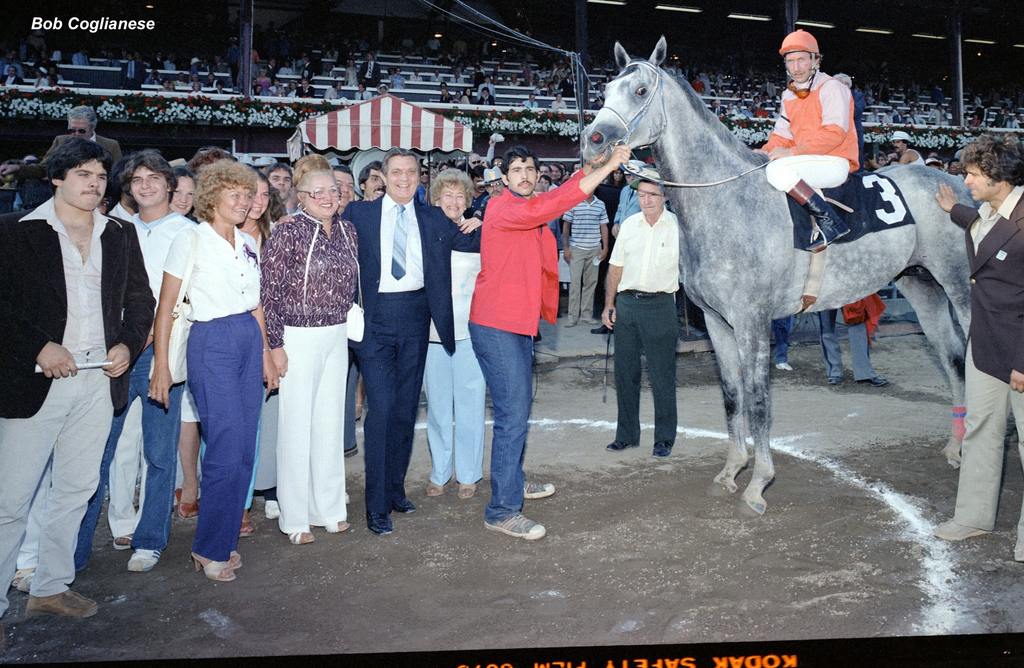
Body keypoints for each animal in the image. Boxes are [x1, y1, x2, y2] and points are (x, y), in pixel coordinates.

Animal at [581, 37, 970, 516]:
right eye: (604, 91)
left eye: (638, 91)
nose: (593, 141)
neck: (727, 200)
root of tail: (956, 184)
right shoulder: (716, 321)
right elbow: (732, 394)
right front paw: (731, 471)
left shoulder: (753, 320)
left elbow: (758, 396)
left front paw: (758, 483)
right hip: (922, 285)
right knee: (952, 355)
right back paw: (957, 447)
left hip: (959, 286)